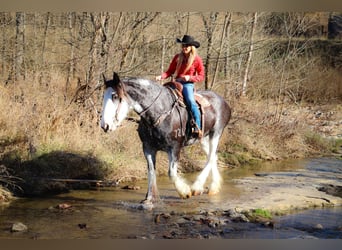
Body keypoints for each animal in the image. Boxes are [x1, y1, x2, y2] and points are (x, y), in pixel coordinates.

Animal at [100, 71, 231, 206]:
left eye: (115, 96)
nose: (105, 125)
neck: (160, 111)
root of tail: (223, 101)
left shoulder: (174, 148)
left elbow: (171, 173)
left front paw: (185, 192)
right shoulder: (148, 148)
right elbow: (151, 172)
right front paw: (149, 198)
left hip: (216, 133)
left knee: (210, 158)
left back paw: (197, 187)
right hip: (203, 138)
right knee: (213, 156)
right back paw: (213, 187)